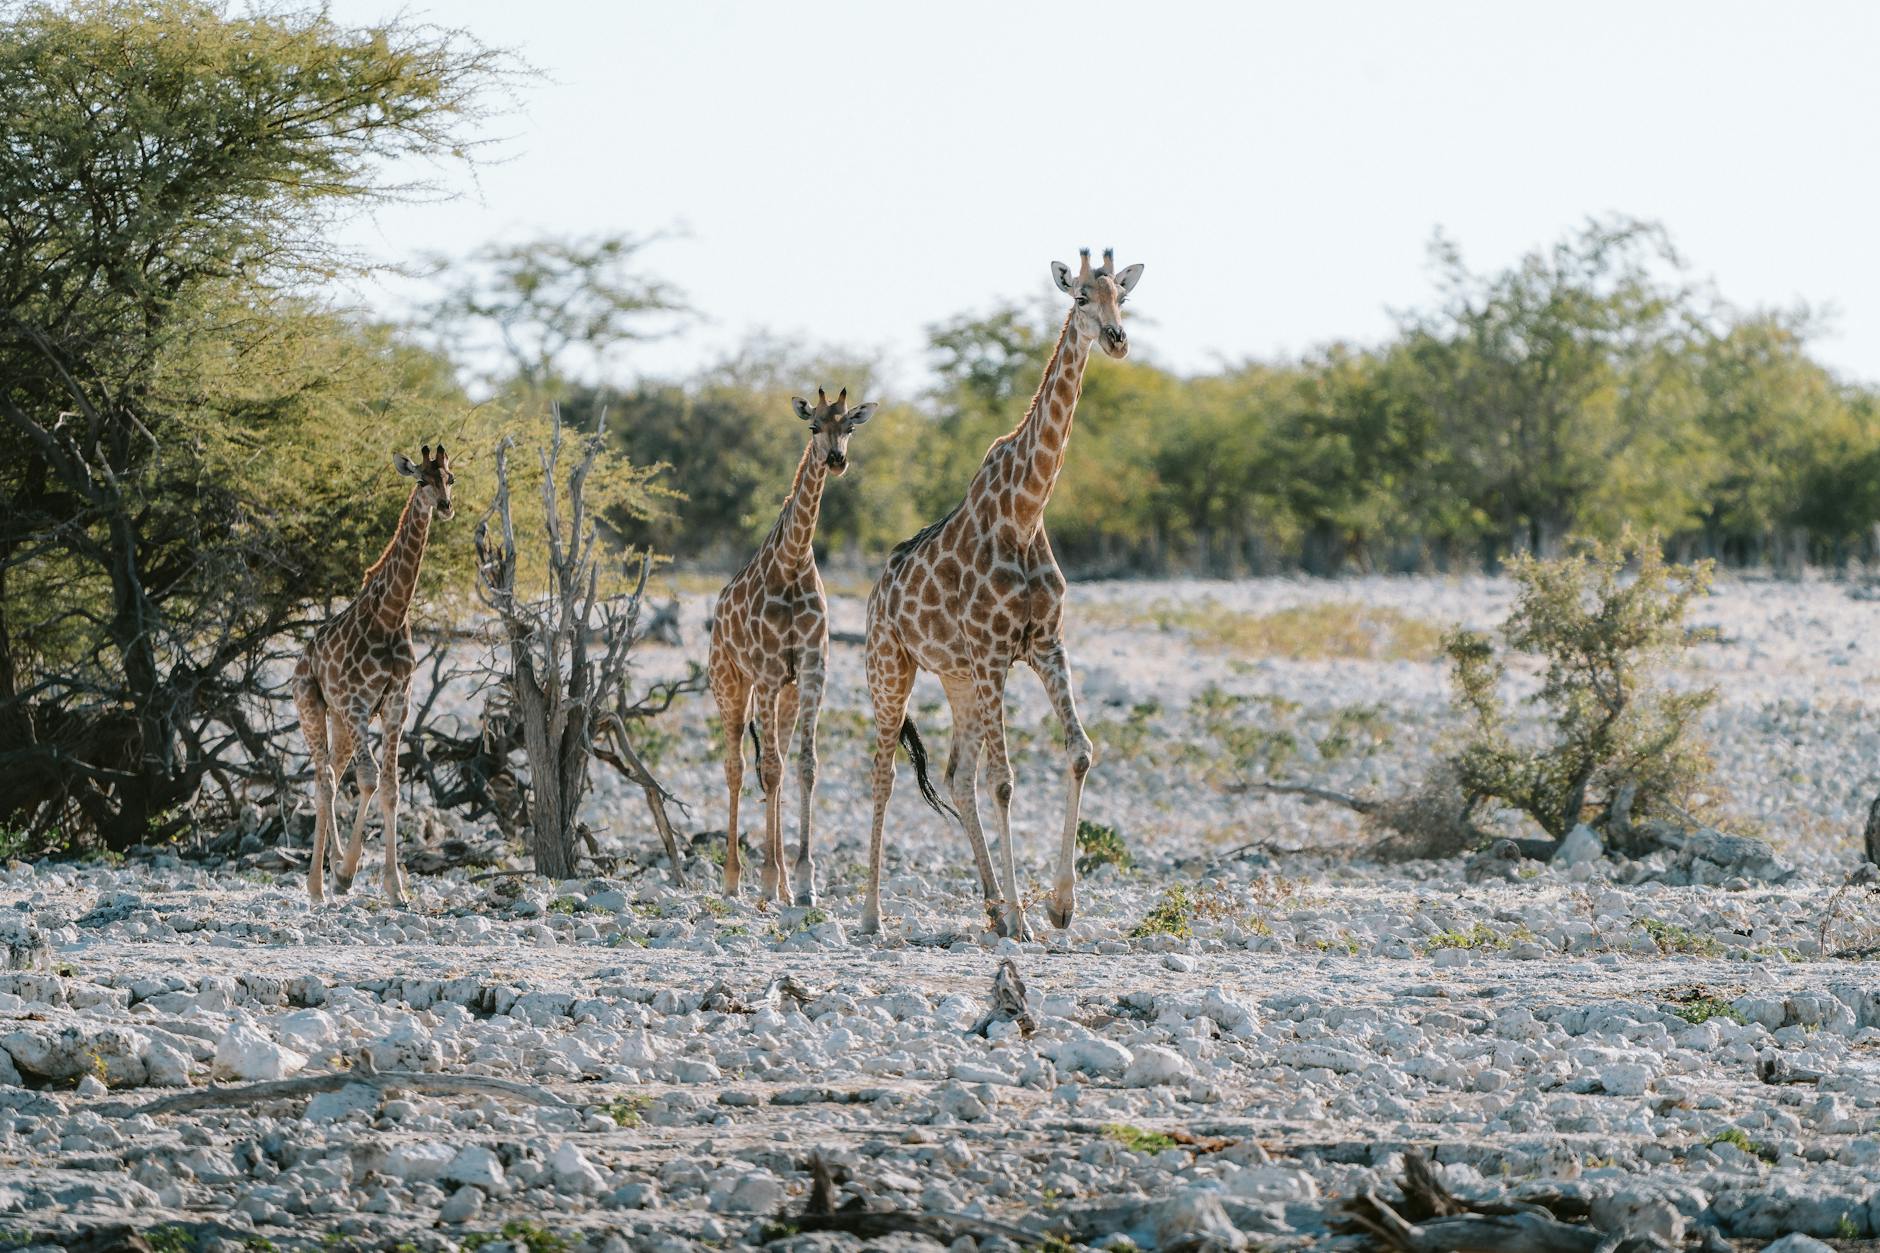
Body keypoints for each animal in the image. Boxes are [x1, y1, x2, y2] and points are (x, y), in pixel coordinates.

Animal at [292, 444, 455, 905]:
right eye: (420, 479)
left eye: (450, 478)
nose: (445, 506)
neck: (391, 614)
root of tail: (303, 657)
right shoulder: (357, 704)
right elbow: (368, 781)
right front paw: (348, 871)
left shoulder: (397, 706)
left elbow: (391, 789)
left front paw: (396, 889)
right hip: (313, 706)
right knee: (326, 778)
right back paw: (319, 884)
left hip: (340, 722)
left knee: (331, 772)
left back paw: (327, 873)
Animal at [709, 388, 878, 905]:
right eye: (813, 426)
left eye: (850, 426)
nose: (837, 460)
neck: (793, 559)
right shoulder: (764, 671)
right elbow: (769, 768)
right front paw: (766, 880)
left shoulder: (811, 668)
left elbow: (804, 766)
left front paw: (804, 882)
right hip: (730, 684)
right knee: (738, 766)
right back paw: (735, 881)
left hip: (781, 693)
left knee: (775, 769)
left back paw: (781, 884)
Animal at [861, 248, 1143, 940]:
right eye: (1080, 299)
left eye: (1123, 298)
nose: (1117, 340)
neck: (1025, 509)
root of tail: (877, 594)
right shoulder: (995, 654)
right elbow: (1006, 780)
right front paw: (1026, 919)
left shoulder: (1042, 644)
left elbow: (1080, 751)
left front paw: (1058, 905)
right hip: (891, 668)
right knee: (883, 774)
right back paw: (872, 914)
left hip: (957, 678)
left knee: (955, 777)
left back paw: (990, 905)